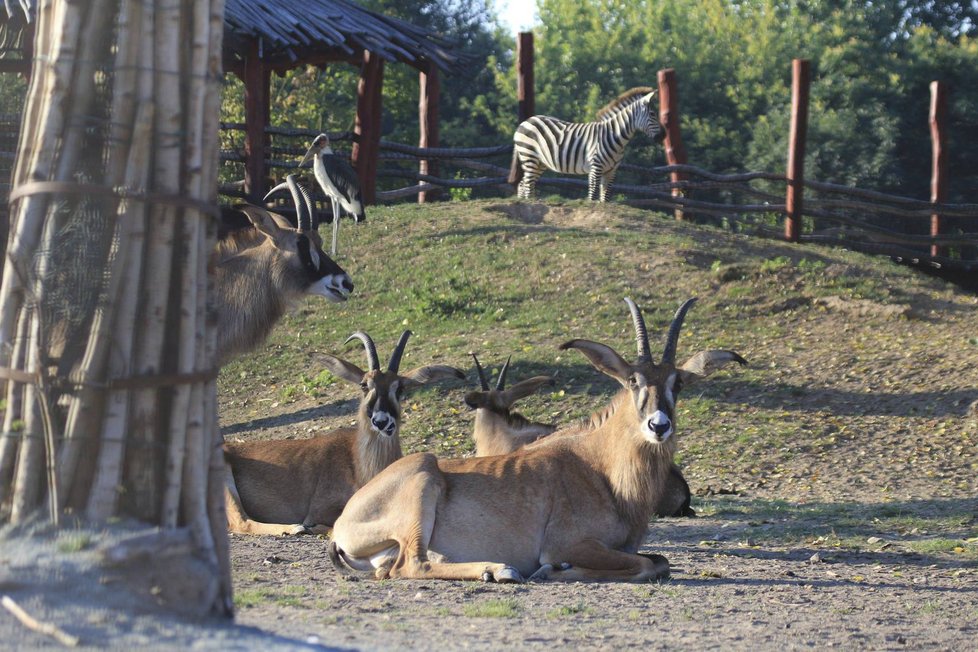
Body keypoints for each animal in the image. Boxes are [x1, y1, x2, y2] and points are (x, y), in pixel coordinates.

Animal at [223, 332, 464, 536]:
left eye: (400, 388)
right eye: (364, 385)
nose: (382, 422)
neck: (359, 464)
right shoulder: (321, 509)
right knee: (241, 522)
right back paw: (294, 528)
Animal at [328, 298, 748, 584]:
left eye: (679, 383)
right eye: (633, 381)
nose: (659, 426)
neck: (601, 469)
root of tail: (344, 522)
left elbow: (660, 560)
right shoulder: (569, 543)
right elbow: (648, 565)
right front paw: (551, 570)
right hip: (423, 480)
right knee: (411, 564)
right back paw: (499, 569)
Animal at [510, 87, 664, 201]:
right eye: (652, 114)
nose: (662, 137)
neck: (615, 135)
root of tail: (525, 122)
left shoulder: (611, 171)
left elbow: (605, 197)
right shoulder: (596, 167)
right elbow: (593, 195)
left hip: (540, 162)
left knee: (523, 184)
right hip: (529, 156)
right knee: (528, 185)